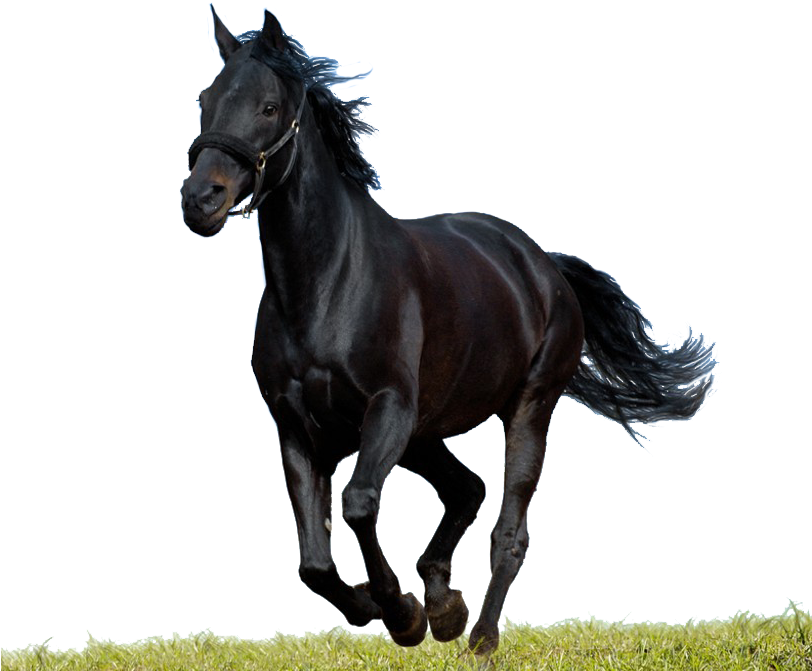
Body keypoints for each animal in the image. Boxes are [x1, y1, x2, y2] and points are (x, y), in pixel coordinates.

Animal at [180, 6, 719, 658]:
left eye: (267, 106)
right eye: (206, 100)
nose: (200, 199)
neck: (327, 284)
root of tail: (542, 265)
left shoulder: (388, 408)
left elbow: (358, 505)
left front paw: (403, 614)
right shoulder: (298, 430)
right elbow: (314, 563)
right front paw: (398, 607)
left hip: (526, 408)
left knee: (508, 529)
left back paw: (477, 637)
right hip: (426, 431)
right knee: (467, 488)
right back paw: (444, 603)